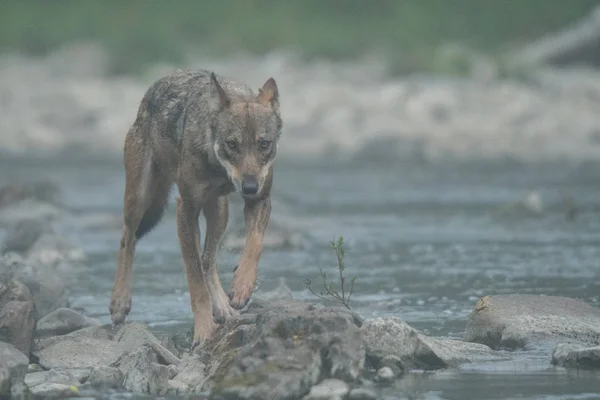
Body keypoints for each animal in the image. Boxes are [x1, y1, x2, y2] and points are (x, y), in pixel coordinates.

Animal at [109, 67, 282, 346]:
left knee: (208, 259)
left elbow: (254, 246)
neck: (218, 167)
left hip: (219, 212)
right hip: (139, 200)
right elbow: (194, 279)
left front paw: (242, 287)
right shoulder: (186, 209)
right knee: (128, 239)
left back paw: (223, 307)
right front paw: (203, 330)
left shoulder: (260, 201)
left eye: (263, 144)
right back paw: (119, 302)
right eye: (232, 144)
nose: (249, 187)